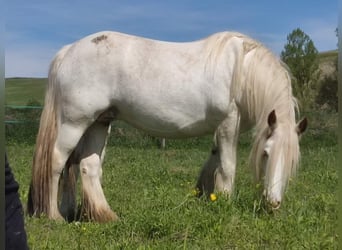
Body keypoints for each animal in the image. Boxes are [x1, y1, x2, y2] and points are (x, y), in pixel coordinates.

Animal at [26, 31, 308, 223]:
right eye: (266, 154)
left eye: (294, 161)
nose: (274, 204)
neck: (243, 69)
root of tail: (68, 50)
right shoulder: (229, 122)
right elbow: (227, 166)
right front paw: (225, 203)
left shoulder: (219, 129)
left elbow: (213, 162)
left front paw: (204, 195)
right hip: (74, 122)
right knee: (56, 161)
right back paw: (54, 216)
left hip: (99, 122)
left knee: (85, 165)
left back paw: (101, 215)